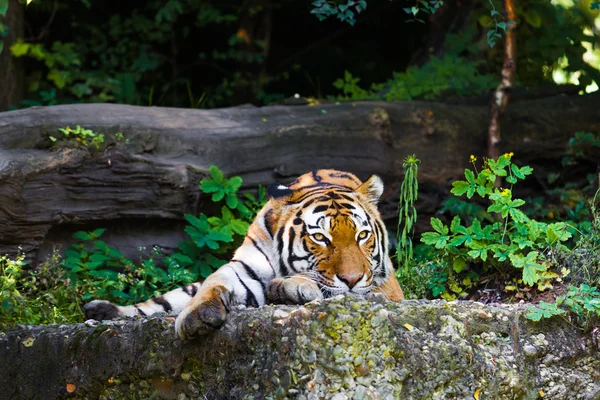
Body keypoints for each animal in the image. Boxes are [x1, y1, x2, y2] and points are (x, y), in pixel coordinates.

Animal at [84, 167, 404, 340]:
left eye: (362, 236)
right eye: (319, 238)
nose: (352, 279)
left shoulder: (387, 288)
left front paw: (291, 287)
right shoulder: (242, 267)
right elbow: (214, 282)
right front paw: (198, 317)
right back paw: (102, 310)